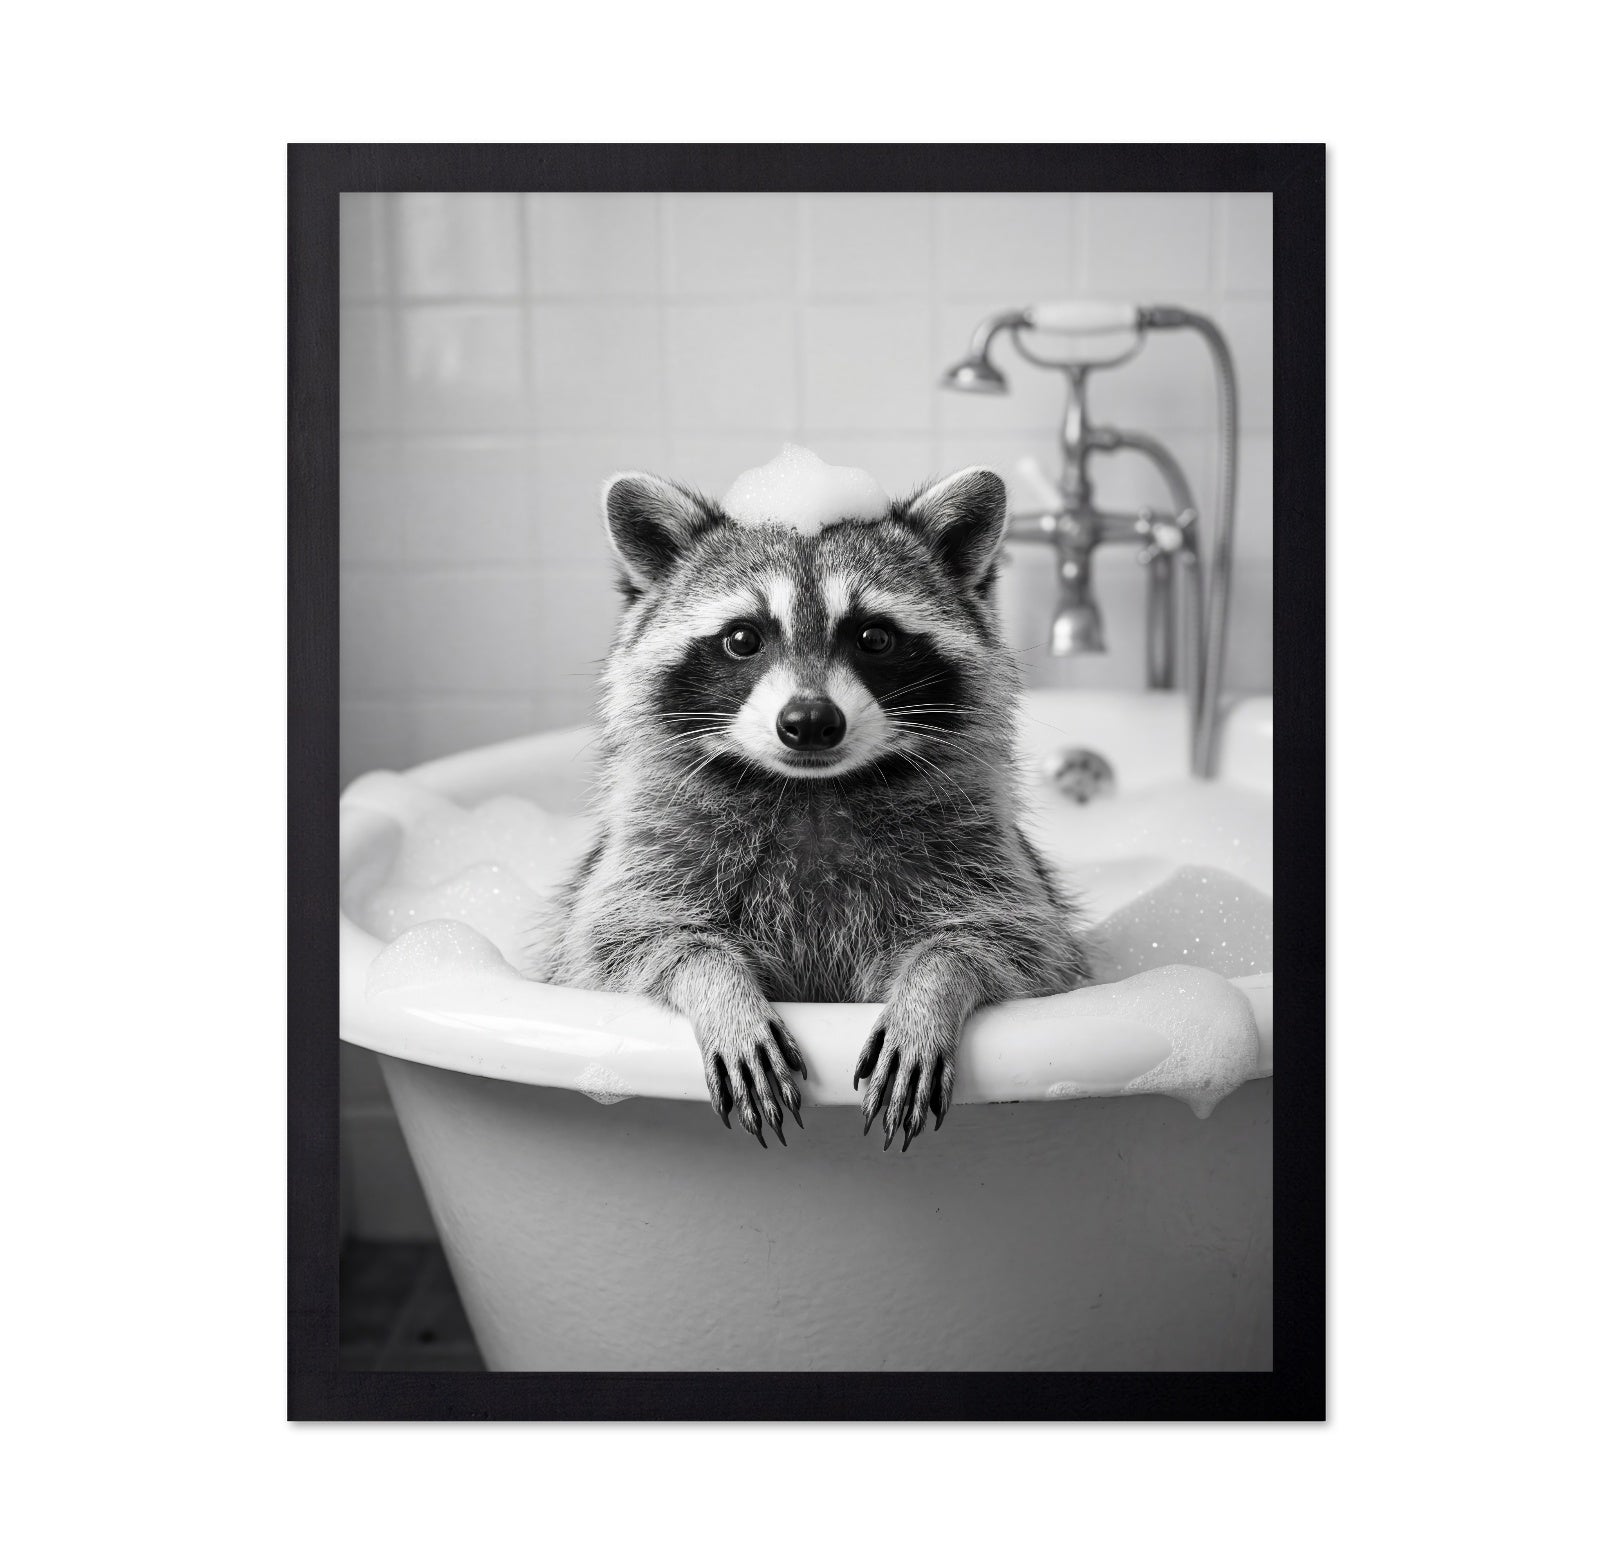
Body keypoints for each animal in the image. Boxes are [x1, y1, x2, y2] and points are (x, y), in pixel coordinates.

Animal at [542, 462, 1091, 1150]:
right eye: (742, 638)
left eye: (874, 637)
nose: (808, 722)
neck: (813, 793)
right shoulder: (652, 847)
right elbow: (621, 941)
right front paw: (719, 987)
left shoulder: (979, 847)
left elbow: (1017, 945)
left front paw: (932, 987)